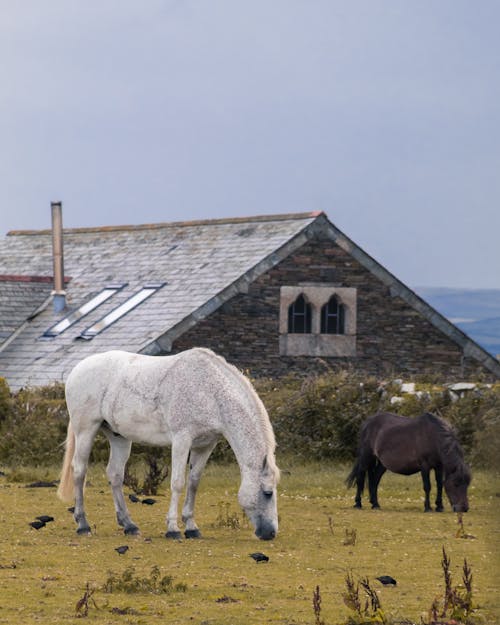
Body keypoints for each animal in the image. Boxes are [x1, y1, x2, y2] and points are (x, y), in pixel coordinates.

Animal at [57, 348, 282, 540]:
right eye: (267, 492)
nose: (270, 533)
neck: (209, 391)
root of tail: (77, 369)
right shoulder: (182, 439)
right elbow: (177, 483)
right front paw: (173, 528)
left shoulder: (205, 445)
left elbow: (193, 483)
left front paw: (191, 527)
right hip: (86, 430)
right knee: (79, 471)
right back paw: (83, 524)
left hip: (119, 437)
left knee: (115, 475)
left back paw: (129, 525)